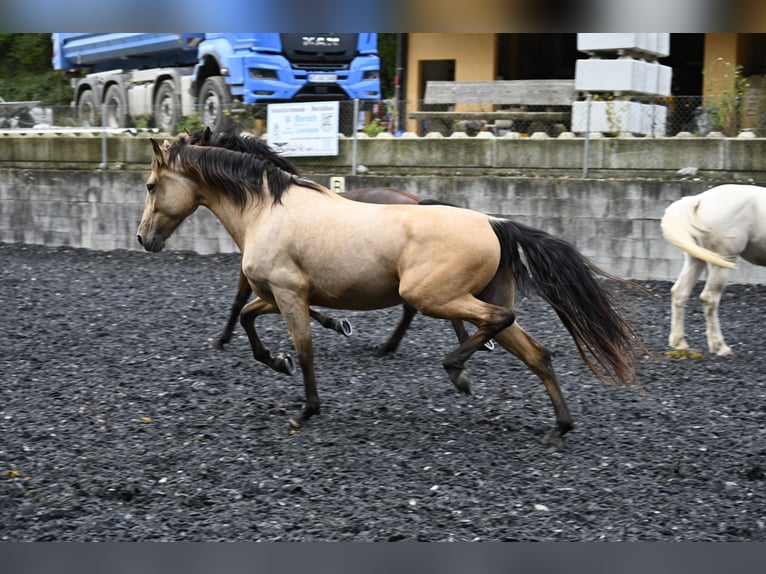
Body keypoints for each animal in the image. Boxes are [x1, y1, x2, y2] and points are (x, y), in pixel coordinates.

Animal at [186, 130, 486, 356]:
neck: (268, 202)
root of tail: (416, 200)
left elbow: (238, 301)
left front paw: (221, 339)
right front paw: (337, 324)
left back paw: (392, 346)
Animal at [660, 184, 766, 356]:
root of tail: (699, 199)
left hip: (696, 258)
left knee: (679, 292)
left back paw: (680, 343)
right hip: (722, 260)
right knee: (709, 298)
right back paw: (720, 347)